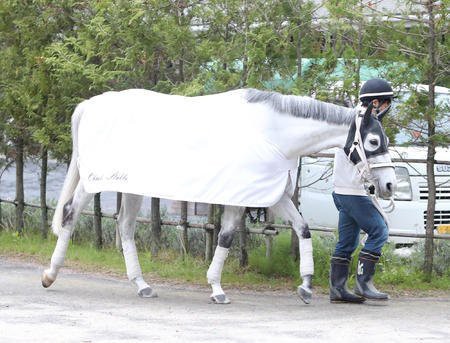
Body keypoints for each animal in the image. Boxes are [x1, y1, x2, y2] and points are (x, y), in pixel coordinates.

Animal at [41, 88, 394, 304]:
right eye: (374, 141)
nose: (389, 186)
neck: (272, 134)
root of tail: (89, 106)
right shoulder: (239, 197)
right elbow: (225, 237)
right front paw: (217, 288)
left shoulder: (276, 196)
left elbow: (303, 229)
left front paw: (306, 286)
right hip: (93, 183)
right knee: (70, 214)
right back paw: (50, 274)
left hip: (132, 188)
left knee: (125, 227)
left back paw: (142, 285)